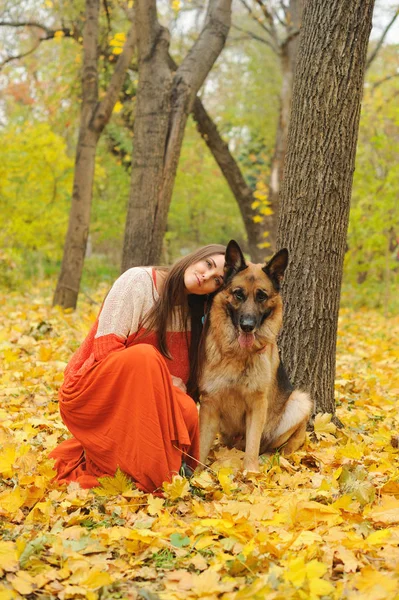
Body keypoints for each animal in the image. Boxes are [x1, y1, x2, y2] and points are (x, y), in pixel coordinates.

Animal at [198, 240, 314, 474]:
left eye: (261, 296)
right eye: (238, 294)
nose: (247, 326)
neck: (238, 355)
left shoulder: (257, 405)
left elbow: (252, 445)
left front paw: (250, 474)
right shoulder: (209, 405)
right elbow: (200, 449)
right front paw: (191, 475)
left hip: (299, 402)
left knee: (281, 450)